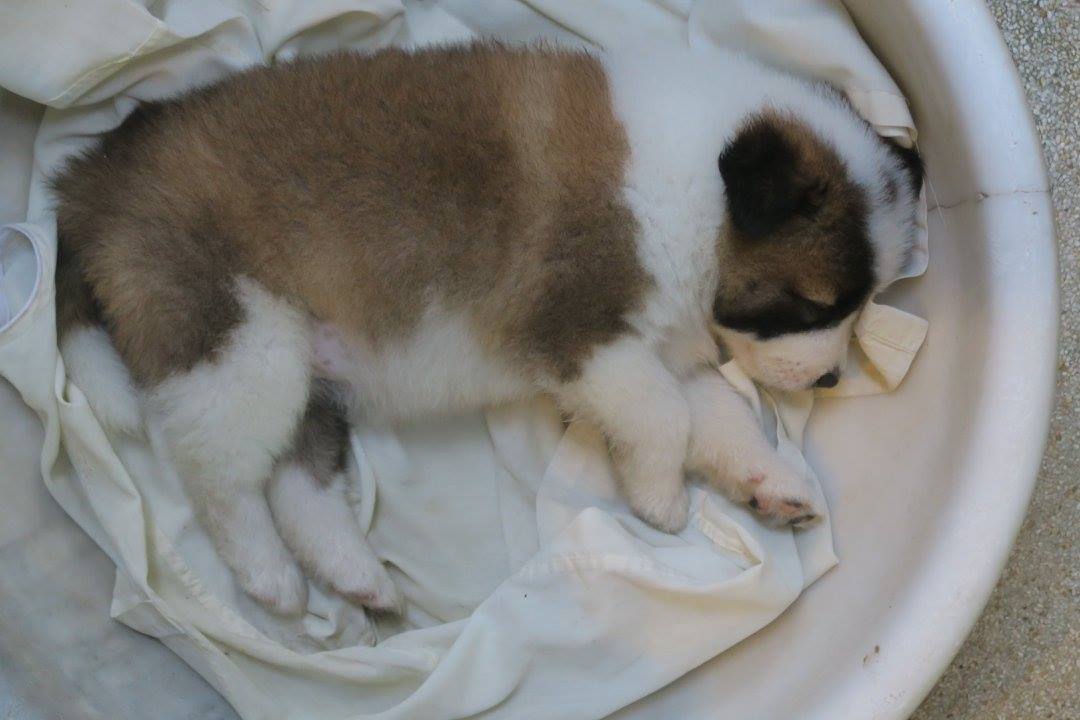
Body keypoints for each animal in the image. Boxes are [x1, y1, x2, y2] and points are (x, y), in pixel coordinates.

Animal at [52, 42, 922, 615]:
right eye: (814, 307)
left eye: (862, 305)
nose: (831, 379)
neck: (698, 199)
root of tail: (95, 177)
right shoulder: (587, 336)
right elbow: (665, 418)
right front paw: (659, 498)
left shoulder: (660, 348)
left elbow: (716, 417)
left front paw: (768, 482)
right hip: (239, 345)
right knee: (220, 479)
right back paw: (269, 577)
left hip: (302, 366)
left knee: (297, 480)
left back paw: (356, 575)